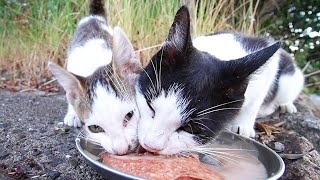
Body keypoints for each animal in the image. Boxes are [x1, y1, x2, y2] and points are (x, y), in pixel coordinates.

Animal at [136, 5, 304, 155]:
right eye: (150, 106)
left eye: (191, 128)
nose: (151, 146)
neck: (220, 51)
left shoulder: (268, 66)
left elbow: (255, 101)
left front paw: (243, 124)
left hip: (290, 77)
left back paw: (284, 106)